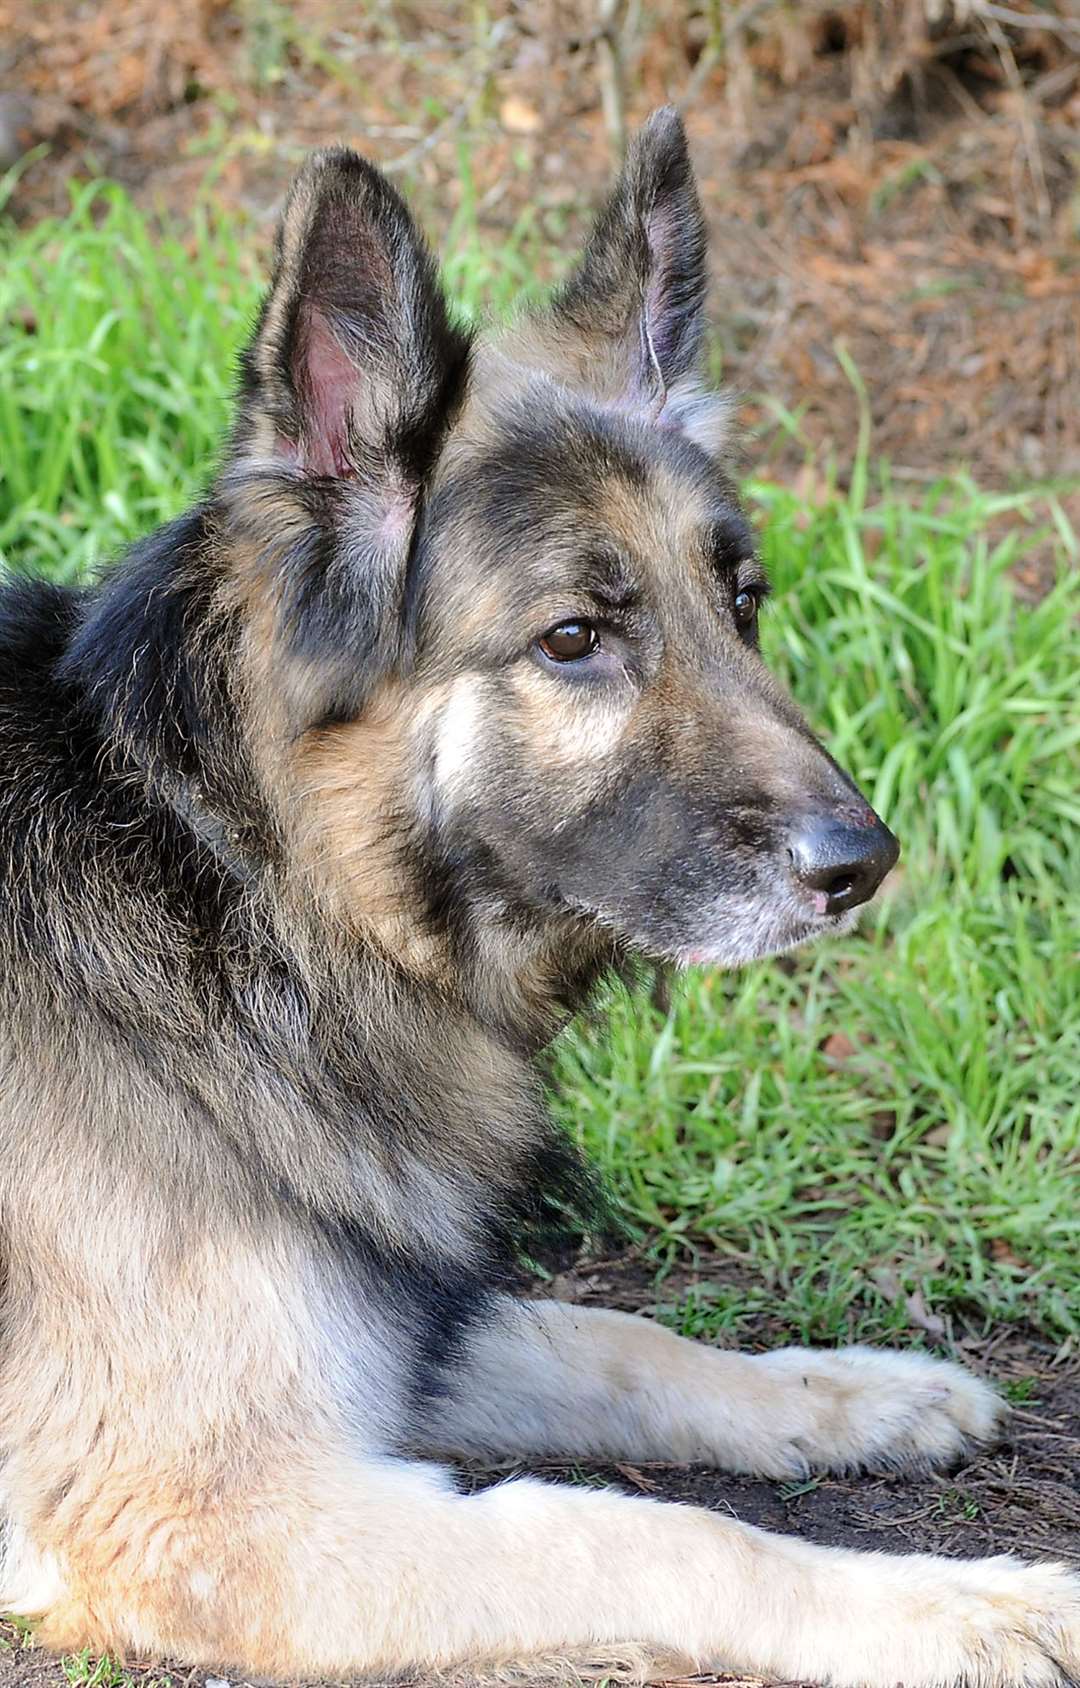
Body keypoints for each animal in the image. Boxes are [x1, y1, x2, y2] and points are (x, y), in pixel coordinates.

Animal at [2, 105, 1080, 1688]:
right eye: (574, 637)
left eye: (742, 601)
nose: (862, 862)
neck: (239, 880)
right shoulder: (213, 1514)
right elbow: (644, 1532)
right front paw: (962, 1607)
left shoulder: (400, 1317)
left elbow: (620, 1344)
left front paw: (851, 1392)